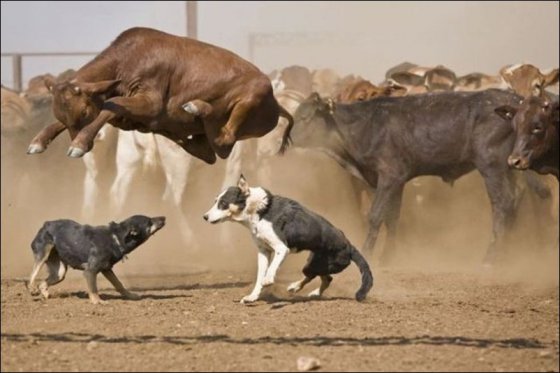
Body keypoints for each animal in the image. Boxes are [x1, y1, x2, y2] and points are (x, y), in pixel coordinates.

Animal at [27, 26, 294, 163]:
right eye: (61, 115)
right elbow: (105, 108)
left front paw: (79, 144)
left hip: (252, 97)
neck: (127, 61)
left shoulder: (151, 101)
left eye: (83, 111)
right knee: (208, 152)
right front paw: (38, 140)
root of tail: (276, 104)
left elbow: (111, 103)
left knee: (224, 141)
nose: (79, 142)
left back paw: (196, 107)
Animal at [27, 214, 165, 304]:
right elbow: (93, 288)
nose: (164, 217)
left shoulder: (107, 269)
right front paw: (97, 301)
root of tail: (47, 223)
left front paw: (130, 296)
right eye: (149, 222)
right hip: (43, 254)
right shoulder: (90, 271)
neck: (116, 238)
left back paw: (45, 294)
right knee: (32, 274)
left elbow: (119, 284)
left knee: (42, 283)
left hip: (59, 272)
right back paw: (32, 289)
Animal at [203, 174, 374, 302]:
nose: (204, 216)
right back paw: (304, 290)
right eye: (215, 201)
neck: (261, 211)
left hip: (320, 264)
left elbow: (271, 269)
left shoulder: (281, 248)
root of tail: (350, 246)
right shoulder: (263, 251)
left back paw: (297, 287)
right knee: (326, 279)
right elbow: (259, 276)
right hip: (314, 262)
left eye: (223, 203)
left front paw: (268, 280)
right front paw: (253, 296)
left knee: (318, 277)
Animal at [294, 89, 532, 264]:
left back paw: (490, 258)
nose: (290, 138)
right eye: (296, 116)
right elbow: (392, 217)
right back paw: (508, 255)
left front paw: (368, 253)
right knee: (515, 200)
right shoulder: (397, 180)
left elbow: (375, 215)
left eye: (306, 117)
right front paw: (388, 256)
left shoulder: (389, 176)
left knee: (502, 203)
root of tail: (515, 100)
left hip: (491, 166)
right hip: (510, 169)